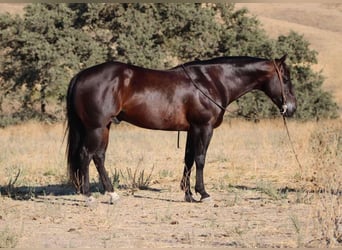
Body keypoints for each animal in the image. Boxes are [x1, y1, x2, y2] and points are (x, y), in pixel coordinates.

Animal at [65, 54, 296, 203]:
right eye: (285, 79)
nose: (291, 108)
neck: (211, 81)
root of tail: (80, 76)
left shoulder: (192, 130)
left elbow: (189, 159)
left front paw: (188, 194)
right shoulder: (204, 128)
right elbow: (200, 159)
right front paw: (203, 194)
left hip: (104, 127)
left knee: (98, 157)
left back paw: (111, 194)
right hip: (96, 127)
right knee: (86, 155)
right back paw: (88, 195)